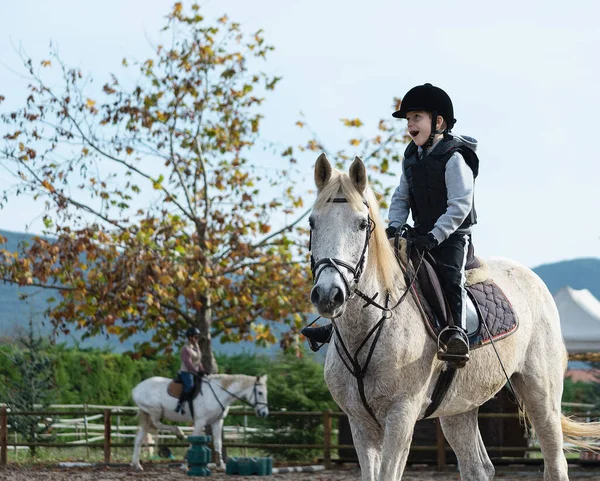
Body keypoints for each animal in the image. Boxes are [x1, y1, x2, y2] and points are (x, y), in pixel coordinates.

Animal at [134, 374, 272, 470]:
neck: (219, 393)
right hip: (155, 411)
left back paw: (136, 465)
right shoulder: (200, 422)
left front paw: (222, 465)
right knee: (156, 424)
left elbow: (218, 443)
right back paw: (179, 433)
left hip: (147, 414)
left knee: (139, 438)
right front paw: (185, 464)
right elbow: (193, 440)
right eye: (260, 393)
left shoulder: (217, 421)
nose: (264, 413)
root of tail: (136, 388)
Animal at [310, 155, 600, 480]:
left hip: (541, 396)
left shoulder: (401, 417)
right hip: (459, 407)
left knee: (555, 462)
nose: (328, 295)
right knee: (479, 467)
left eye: (362, 224)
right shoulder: (359, 422)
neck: (371, 326)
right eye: (312, 222)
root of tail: (534, 281)